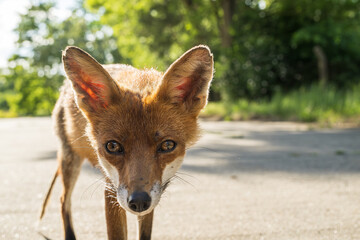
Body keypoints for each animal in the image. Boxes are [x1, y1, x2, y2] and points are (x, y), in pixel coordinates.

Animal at [39, 45, 214, 240]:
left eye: (167, 145)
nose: (138, 202)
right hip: (71, 160)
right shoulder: (111, 189)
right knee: (64, 200)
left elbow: (145, 233)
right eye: (112, 146)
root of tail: (64, 88)